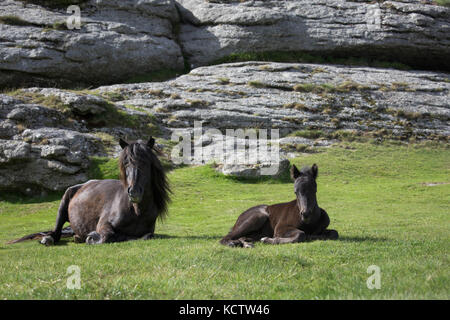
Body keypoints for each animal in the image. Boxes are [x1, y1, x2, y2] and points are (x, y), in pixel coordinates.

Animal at [8, 137, 171, 245]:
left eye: (145, 162)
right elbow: (107, 236)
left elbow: (146, 236)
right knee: (56, 232)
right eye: (125, 163)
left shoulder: (149, 231)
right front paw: (92, 237)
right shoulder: (103, 225)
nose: (133, 192)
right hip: (63, 205)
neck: (136, 211)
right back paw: (49, 239)